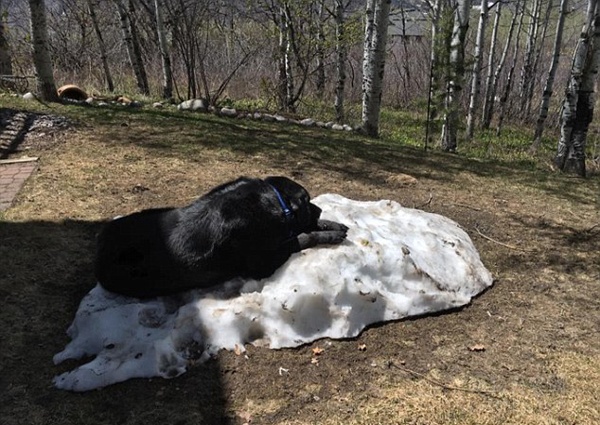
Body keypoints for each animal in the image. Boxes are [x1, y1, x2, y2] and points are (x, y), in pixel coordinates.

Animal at [93, 174, 346, 296]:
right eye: (307, 200)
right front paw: (330, 234)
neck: (274, 200)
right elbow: (303, 236)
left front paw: (334, 224)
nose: (319, 209)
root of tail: (99, 250)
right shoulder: (263, 263)